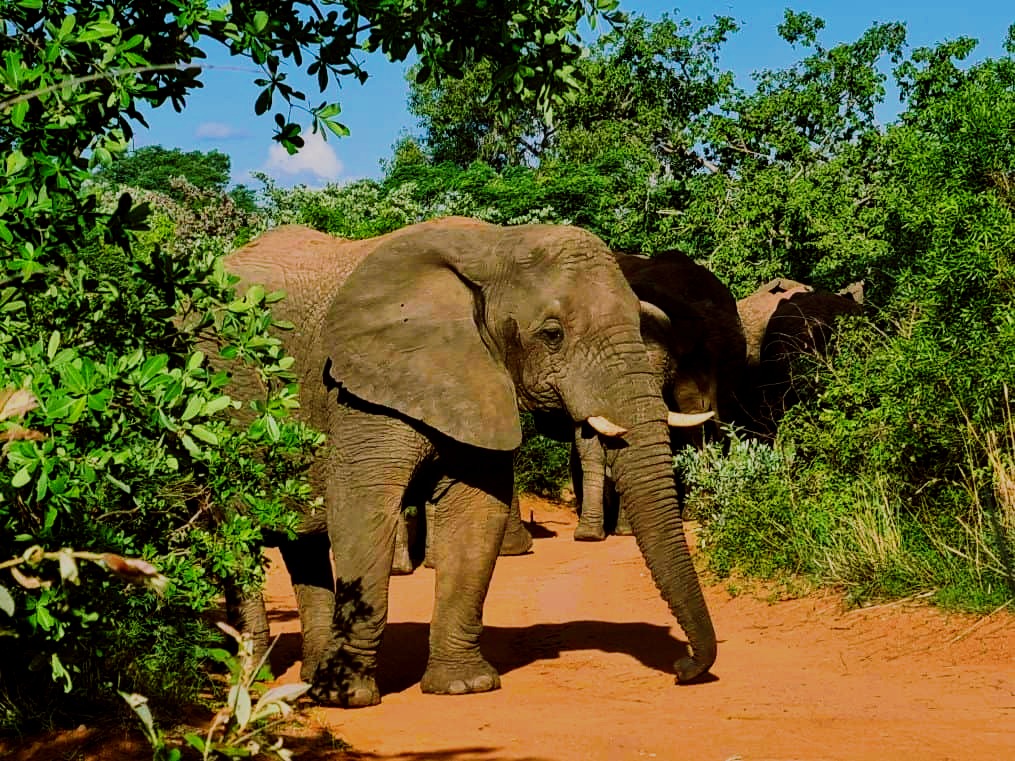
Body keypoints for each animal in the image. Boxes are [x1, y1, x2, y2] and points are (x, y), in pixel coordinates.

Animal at [219, 219, 718, 710]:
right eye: (552, 334)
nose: (684, 670)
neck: (494, 247)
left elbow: (475, 513)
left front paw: (463, 687)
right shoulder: (362, 389)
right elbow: (361, 506)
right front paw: (348, 699)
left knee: (299, 537)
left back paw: (304, 682)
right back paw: (257, 679)